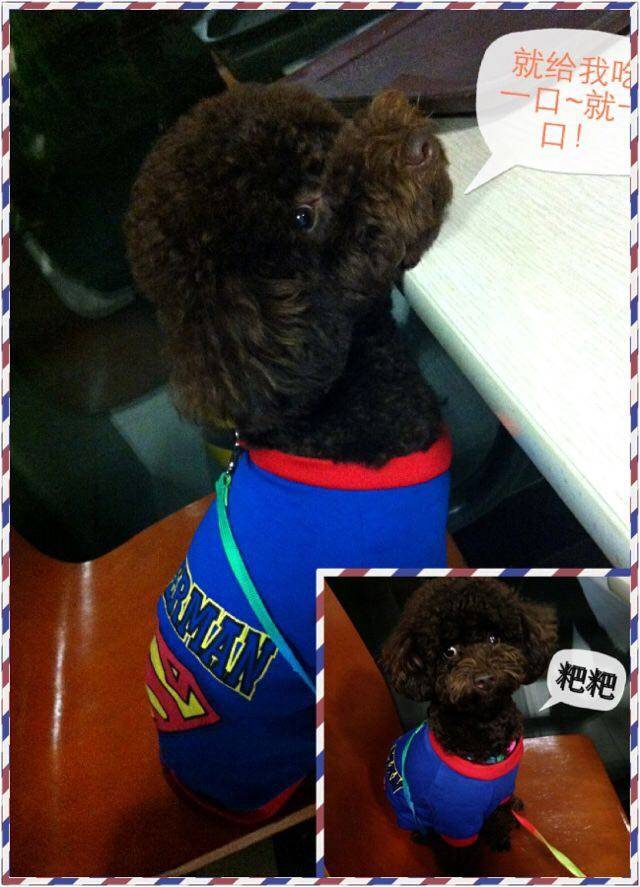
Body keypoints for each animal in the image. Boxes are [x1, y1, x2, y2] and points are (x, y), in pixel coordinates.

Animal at [382, 578, 557, 864]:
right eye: (449, 651)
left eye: (493, 638)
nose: (485, 678)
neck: (484, 725)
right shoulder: (455, 818)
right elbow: (462, 850)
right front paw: (464, 867)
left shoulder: (500, 794)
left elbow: (498, 818)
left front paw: (500, 836)